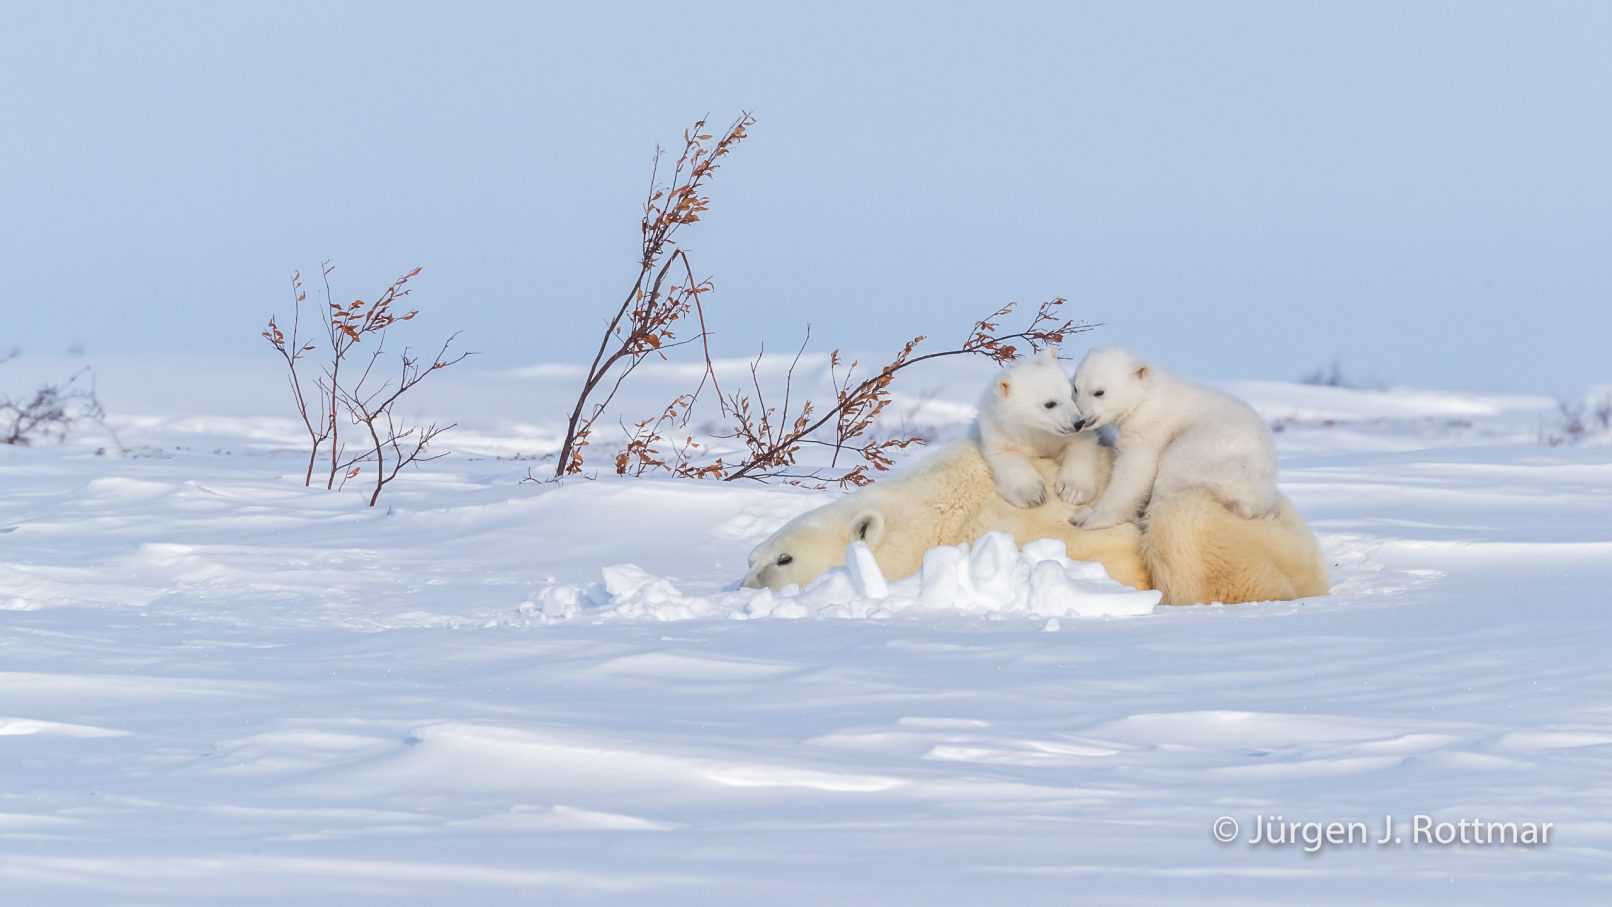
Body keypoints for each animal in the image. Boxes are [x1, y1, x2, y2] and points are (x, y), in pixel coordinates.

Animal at [976, 348, 1104, 510]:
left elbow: (1081, 444)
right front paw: (1033, 494)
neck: (1037, 430)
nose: (1079, 423)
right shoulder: (999, 432)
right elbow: (1006, 455)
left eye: (1071, 394)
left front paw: (1072, 491)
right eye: (1050, 404)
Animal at [1067, 347, 1279, 530]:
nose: (1081, 418)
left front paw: (1089, 517)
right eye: (1076, 388)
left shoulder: (1150, 424)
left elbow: (1136, 467)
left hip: (1211, 455)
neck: (1146, 396)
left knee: (1174, 467)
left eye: (1099, 392)